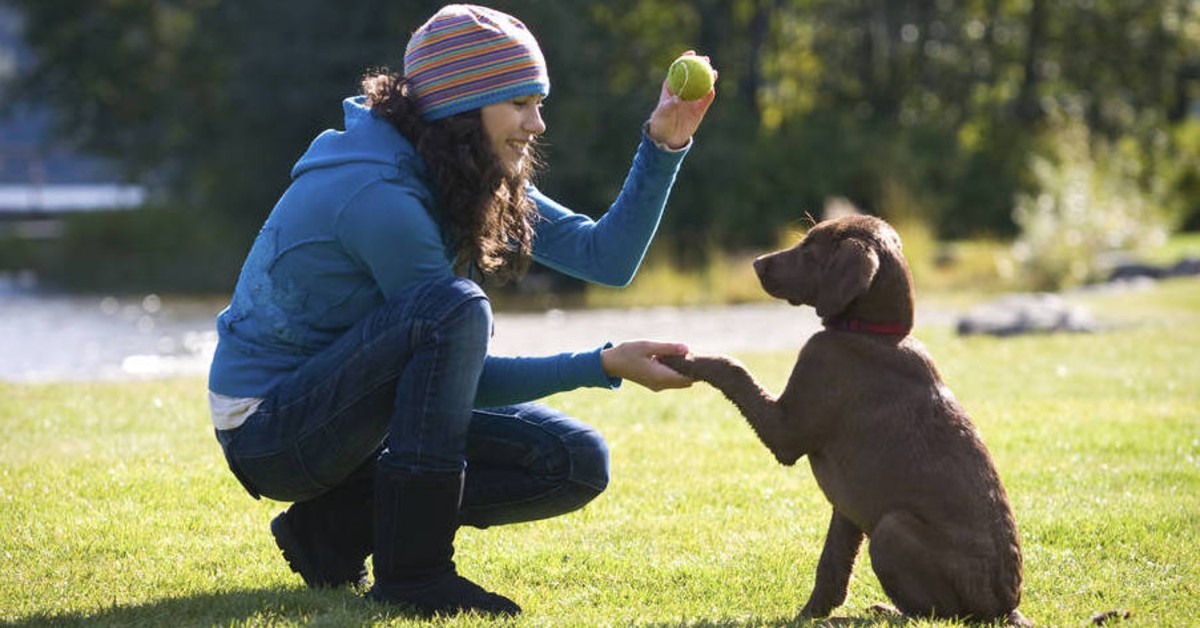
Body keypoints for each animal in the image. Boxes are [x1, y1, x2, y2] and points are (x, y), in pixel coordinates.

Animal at [662, 214, 1027, 624]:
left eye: (809, 248)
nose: (756, 263)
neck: (875, 334)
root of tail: (1005, 609)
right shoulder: (847, 507)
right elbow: (833, 566)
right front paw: (811, 613)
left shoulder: (786, 430)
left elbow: (732, 367)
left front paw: (682, 358)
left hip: (890, 529)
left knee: (934, 614)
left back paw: (884, 611)